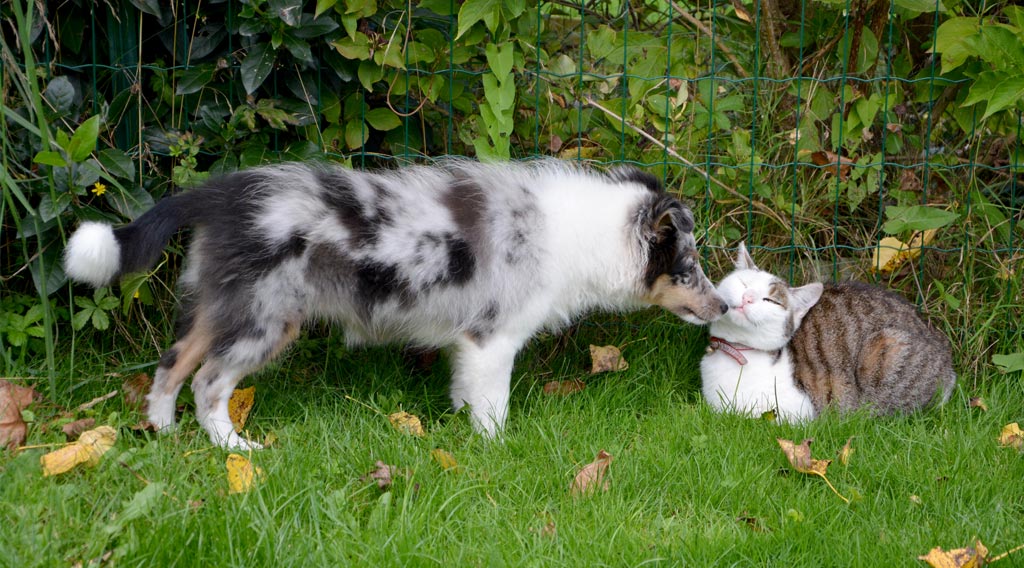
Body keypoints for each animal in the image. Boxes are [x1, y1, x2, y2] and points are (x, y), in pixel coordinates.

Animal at [64, 159, 729, 448]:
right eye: (689, 269)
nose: (723, 308)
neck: (578, 233)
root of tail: (219, 195)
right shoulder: (494, 339)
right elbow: (494, 406)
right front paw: (497, 452)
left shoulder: (471, 345)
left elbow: (466, 391)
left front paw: (461, 423)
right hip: (265, 319)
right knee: (207, 382)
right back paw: (235, 450)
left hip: (216, 304)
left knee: (172, 362)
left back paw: (163, 430)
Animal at [700, 243, 954, 421]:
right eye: (743, 283)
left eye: (771, 301)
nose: (748, 297)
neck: (735, 351)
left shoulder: (793, 413)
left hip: (887, 348)